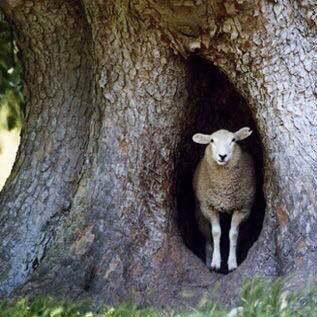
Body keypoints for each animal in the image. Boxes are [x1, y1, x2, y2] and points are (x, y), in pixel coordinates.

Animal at [190, 127, 254, 270]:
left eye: (233, 140)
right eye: (211, 140)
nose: (222, 156)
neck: (224, 190)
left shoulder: (242, 209)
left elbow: (233, 234)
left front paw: (232, 263)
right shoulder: (209, 207)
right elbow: (216, 232)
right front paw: (215, 262)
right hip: (199, 214)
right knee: (207, 237)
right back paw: (208, 262)